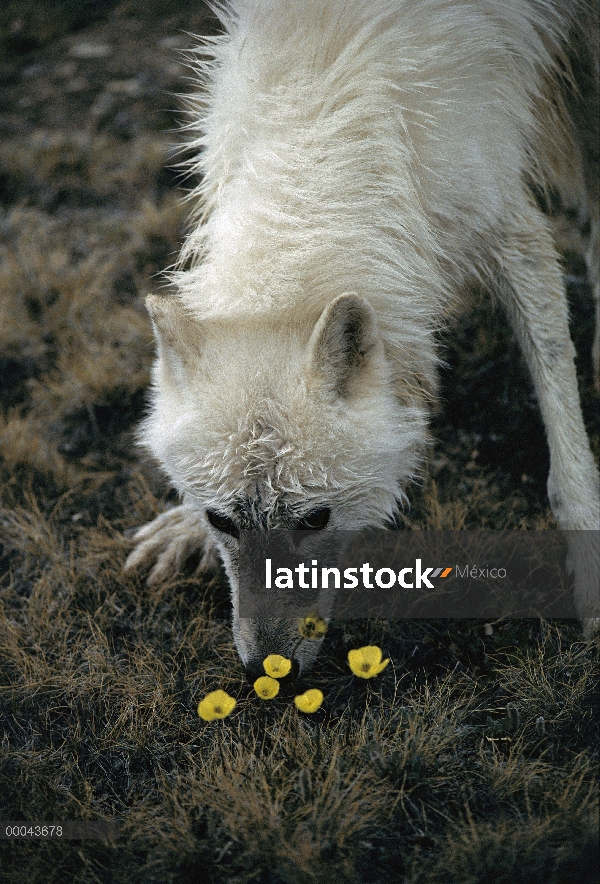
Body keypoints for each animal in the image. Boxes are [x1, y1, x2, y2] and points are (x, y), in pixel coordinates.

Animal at [124, 0, 596, 672]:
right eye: (224, 520)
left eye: (316, 519)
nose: (267, 670)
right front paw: (182, 527)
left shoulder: (512, 228)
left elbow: (562, 427)